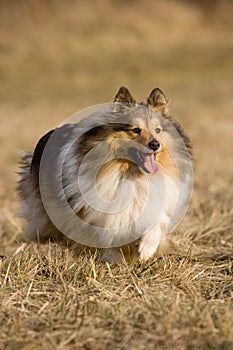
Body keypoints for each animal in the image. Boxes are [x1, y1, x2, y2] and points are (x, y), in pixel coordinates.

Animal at [17, 87, 193, 262]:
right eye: (136, 130)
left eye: (158, 130)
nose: (155, 145)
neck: (132, 174)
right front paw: (113, 259)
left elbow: (155, 224)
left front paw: (145, 251)